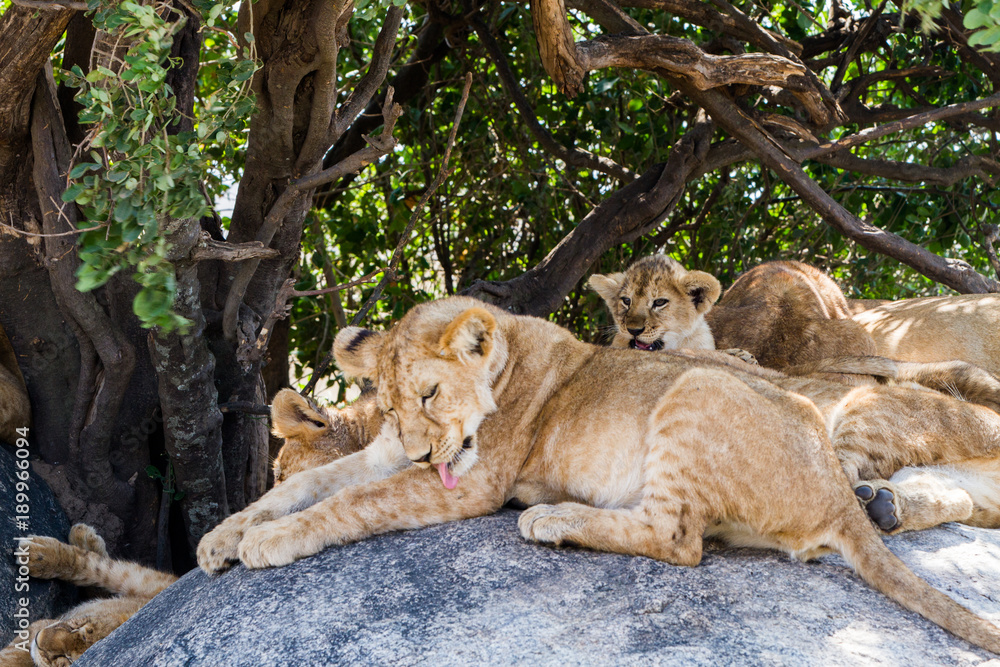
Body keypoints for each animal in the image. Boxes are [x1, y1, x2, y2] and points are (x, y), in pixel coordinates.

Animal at [1, 525, 177, 667]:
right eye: (78, 627)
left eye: (67, 659)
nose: (40, 639)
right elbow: (93, 565)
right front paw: (39, 553)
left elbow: (16, 653)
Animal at [197, 296, 1000, 654]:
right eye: (395, 405)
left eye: (430, 395)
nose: (426, 453)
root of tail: (839, 491)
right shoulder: (388, 450)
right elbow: (298, 487)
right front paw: (221, 538)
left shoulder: (468, 482)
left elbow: (349, 503)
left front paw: (269, 542)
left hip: (694, 387)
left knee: (678, 540)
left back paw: (553, 519)